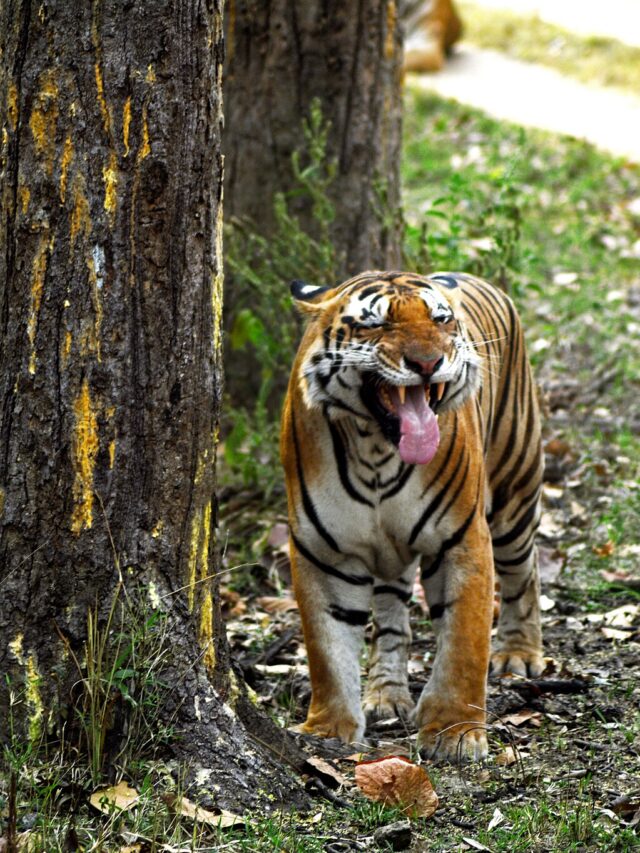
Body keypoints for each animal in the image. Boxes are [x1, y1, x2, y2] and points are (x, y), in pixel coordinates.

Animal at [282, 272, 544, 760]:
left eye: (440, 321)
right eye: (375, 325)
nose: (428, 363)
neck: (376, 450)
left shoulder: (462, 540)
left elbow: (463, 644)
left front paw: (455, 733)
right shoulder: (325, 552)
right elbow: (328, 650)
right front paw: (328, 729)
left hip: (515, 494)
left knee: (525, 574)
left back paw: (519, 653)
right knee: (390, 617)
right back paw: (386, 695)